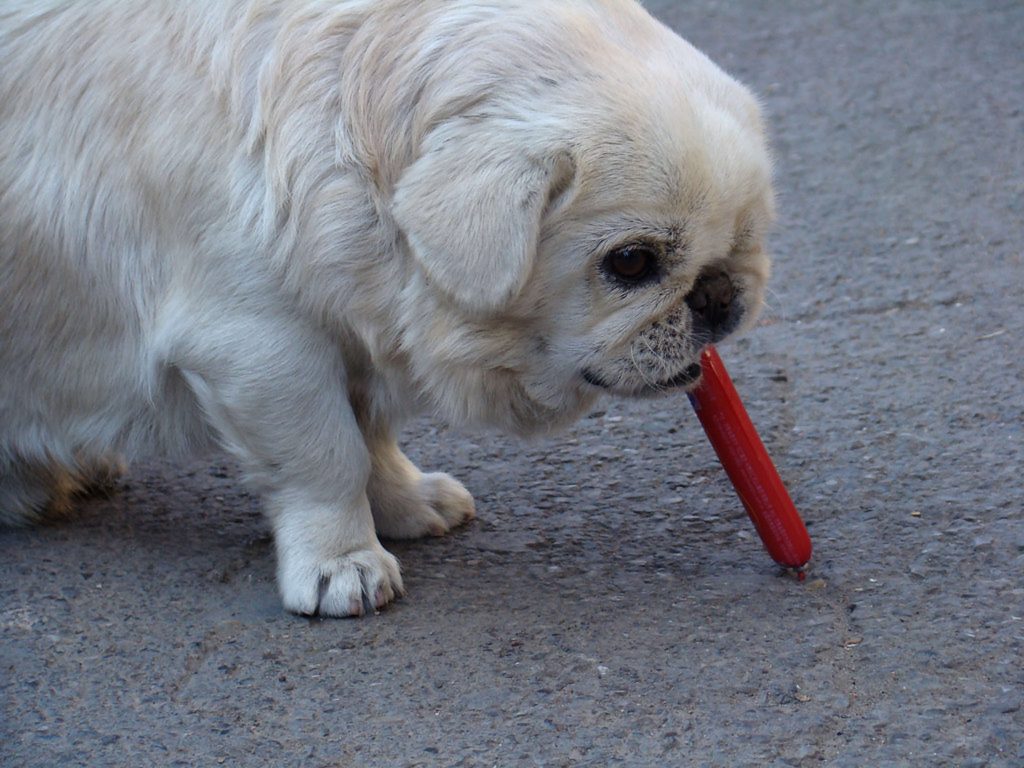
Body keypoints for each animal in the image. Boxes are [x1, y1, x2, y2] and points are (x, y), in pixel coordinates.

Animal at [0, 0, 770, 614]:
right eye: (631, 262)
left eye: (745, 238)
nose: (718, 295)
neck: (342, 139)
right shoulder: (260, 345)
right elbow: (327, 457)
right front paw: (342, 564)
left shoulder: (351, 331)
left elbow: (371, 440)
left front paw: (405, 505)